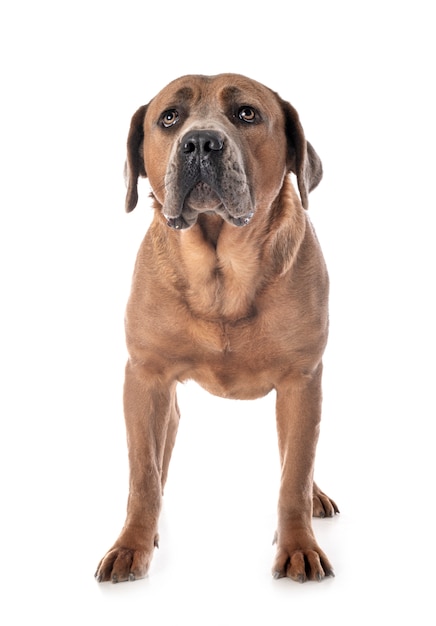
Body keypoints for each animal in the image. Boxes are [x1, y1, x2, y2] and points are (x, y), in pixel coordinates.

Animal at [95, 74, 338, 584]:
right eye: (169, 118)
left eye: (247, 114)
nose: (201, 142)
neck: (222, 273)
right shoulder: (145, 378)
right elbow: (143, 476)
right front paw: (132, 544)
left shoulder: (302, 381)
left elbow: (295, 474)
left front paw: (299, 546)